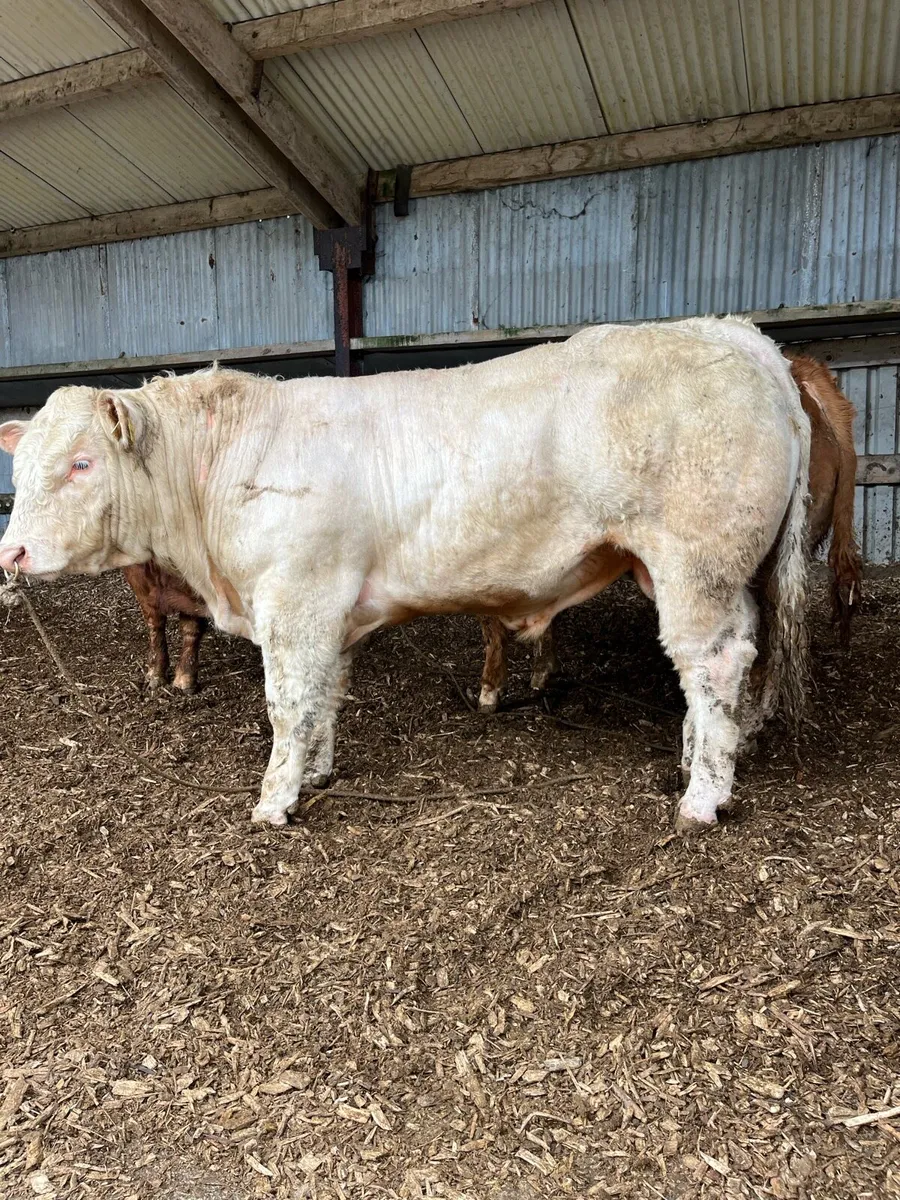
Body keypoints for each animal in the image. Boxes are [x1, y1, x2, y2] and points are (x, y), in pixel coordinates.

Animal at [0, 317, 810, 833]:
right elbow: (325, 696)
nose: (12, 552)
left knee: (713, 662)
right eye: (24, 461)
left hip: (696, 562)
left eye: (80, 463)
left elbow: (287, 704)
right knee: (724, 661)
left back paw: (703, 798)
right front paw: (317, 774)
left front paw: (274, 800)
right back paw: (698, 760)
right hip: (714, 572)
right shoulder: (331, 608)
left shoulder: (295, 596)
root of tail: (733, 332)